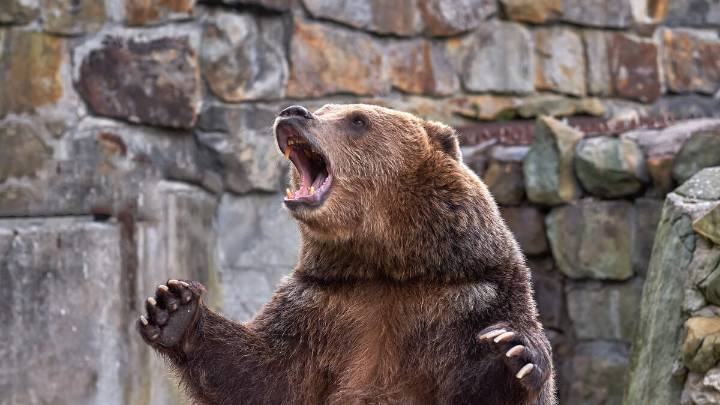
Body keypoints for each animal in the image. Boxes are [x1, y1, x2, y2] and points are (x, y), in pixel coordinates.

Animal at [137, 104, 556, 405]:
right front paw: (173, 308)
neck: (386, 264)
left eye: (357, 120)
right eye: (324, 108)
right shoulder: (322, 305)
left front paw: (511, 352)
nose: (293, 111)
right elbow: (261, 375)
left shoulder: (473, 296)